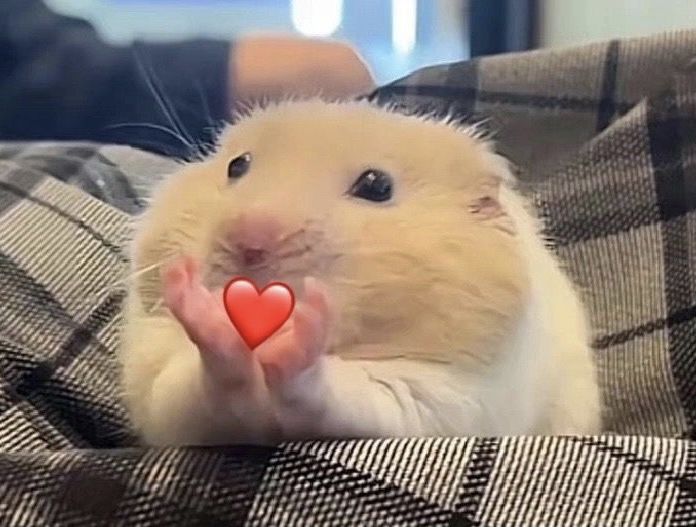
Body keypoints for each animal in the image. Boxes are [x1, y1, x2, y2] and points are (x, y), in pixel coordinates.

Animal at [119, 99, 601, 446]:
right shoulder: (167, 393)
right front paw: (203, 307)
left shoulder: (444, 398)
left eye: (376, 186)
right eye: (237, 165)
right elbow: (203, 383)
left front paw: (301, 329)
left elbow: (341, 390)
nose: (247, 241)